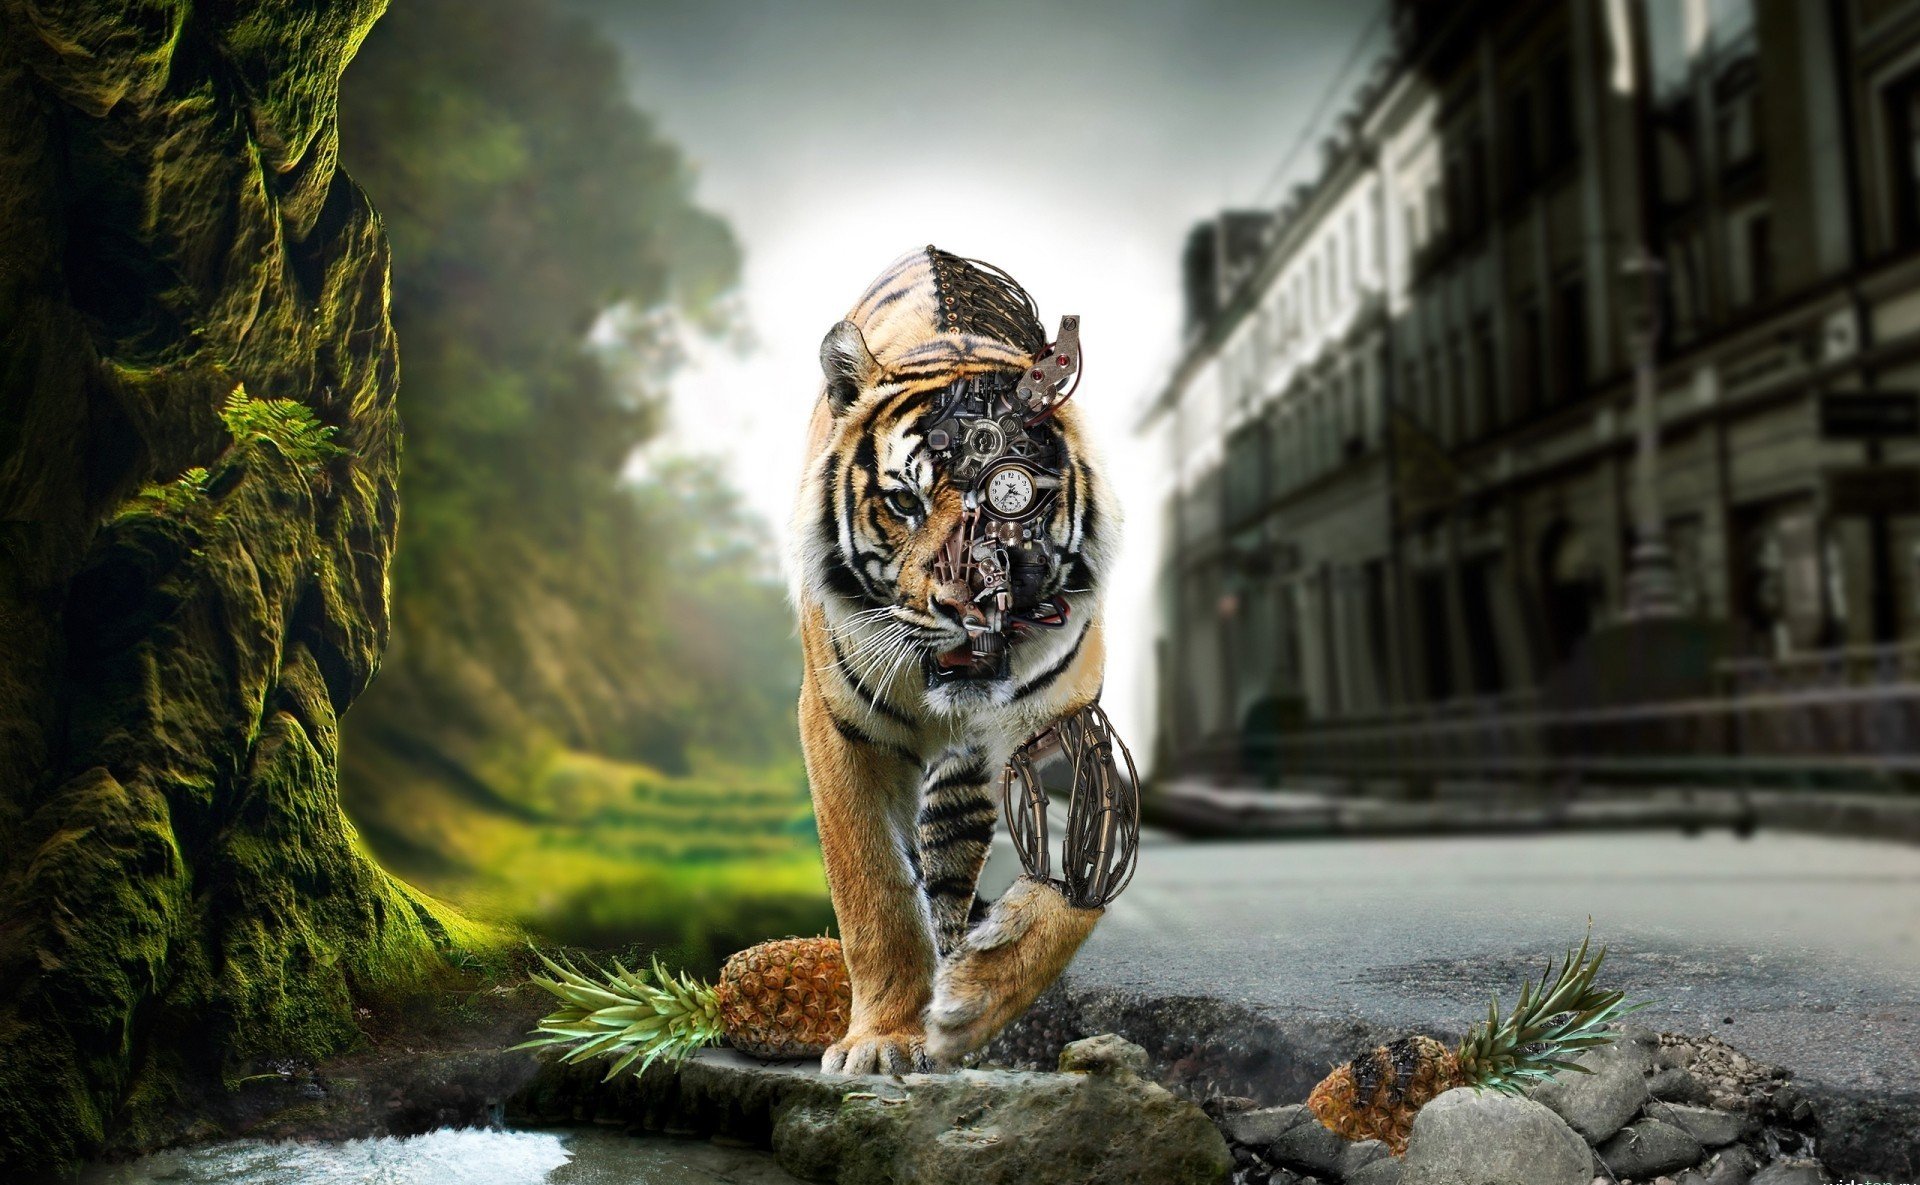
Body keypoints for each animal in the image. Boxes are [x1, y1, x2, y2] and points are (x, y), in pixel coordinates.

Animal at [789, 246, 1118, 1074]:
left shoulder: (1069, 726)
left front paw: (974, 998)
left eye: (1012, 499)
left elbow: (1073, 885)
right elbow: (873, 889)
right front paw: (882, 1038)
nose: (969, 605)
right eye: (904, 503)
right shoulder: (839, 727)